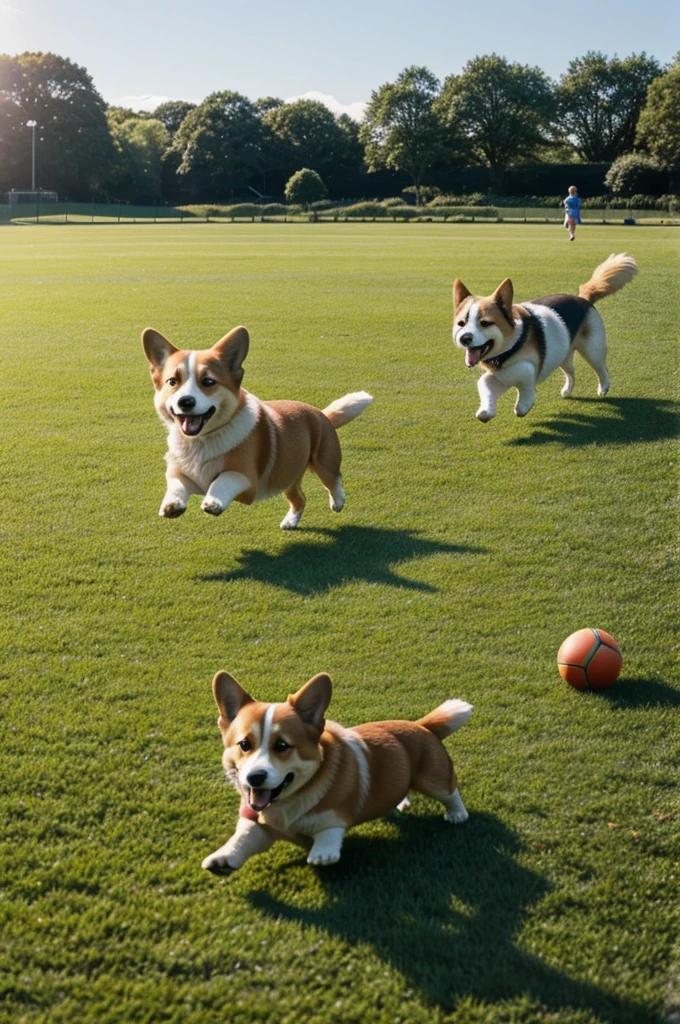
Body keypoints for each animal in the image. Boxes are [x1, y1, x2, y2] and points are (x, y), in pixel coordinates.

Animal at [142, 325, 372, 528]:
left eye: (208, 382)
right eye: (172, 381)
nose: (185, 402)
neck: (201, 442)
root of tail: (323, 414)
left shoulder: (246, 480)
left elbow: (224, 479)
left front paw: (213, 502)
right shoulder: (180, 474)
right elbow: (175, 484)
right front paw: (171, 505)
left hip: (324, 461)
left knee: (334, 480)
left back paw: (338, 502)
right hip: (288, 475)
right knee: (300, 498)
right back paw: (290, 522)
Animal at [201, 667, 473, 876]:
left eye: (282, 746)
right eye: (244, 744)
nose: (255, 778)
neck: (289, 802)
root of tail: (422, 725)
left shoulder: (335, 813)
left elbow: (329, 826)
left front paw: (322, 854)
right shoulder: (259, 824)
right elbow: (243, 836)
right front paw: (222, 858)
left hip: (433, 778)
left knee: (450, 791)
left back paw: (457, 814)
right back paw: (402, 801)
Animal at [450, 253, 639, 421]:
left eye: (485, 323)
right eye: (461, 323)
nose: (464, 338)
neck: (511, 345)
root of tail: (583, 299)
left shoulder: (526, 368)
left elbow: (525, 378)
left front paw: (524, 405)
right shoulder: (498, 376)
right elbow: (484, 384)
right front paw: (486, 411)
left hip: (592, 349)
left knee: (602, 369)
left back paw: (603, 388)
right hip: (563, 354)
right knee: (571, 373)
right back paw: (567, 390)